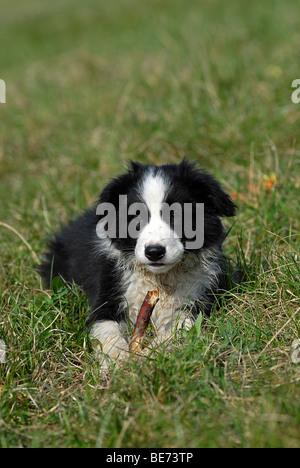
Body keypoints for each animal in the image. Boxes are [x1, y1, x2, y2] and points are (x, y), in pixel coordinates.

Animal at [39, 161, 237, 362]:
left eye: (176, 215)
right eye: (136, 216)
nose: (154, 252)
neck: (159, 279)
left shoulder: (195, 296)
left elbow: (179, 328)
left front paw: (150, 355)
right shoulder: (109, 291)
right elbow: (106, 329)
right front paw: (118, 361)